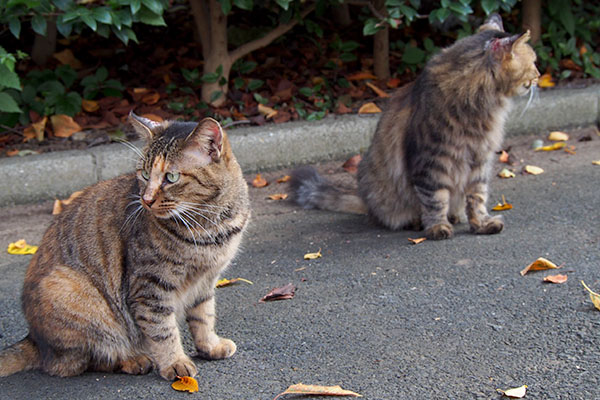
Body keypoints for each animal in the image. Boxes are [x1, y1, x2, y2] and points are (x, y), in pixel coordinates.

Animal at [0, 113, 250, 382]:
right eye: (144, 174)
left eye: (171, 177)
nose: (146, 200)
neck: (210, 227)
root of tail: (33, 339)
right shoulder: (149, 287)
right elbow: (163, 330)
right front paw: (175, 363)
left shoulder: (205, 280)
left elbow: (203, 317)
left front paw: (210, 346)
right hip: (69, 289)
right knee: (82, 361)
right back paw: (133, 359)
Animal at [290, 14, 540, 241]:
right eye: (533, 63)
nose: (539, 75)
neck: (480, 104)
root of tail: (365, 200)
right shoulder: (431, 163)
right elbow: (435, 200)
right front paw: (437, 228)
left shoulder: (479, 161)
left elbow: (477, 198)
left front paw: (481, 224)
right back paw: (416, 221)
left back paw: (455, 217)